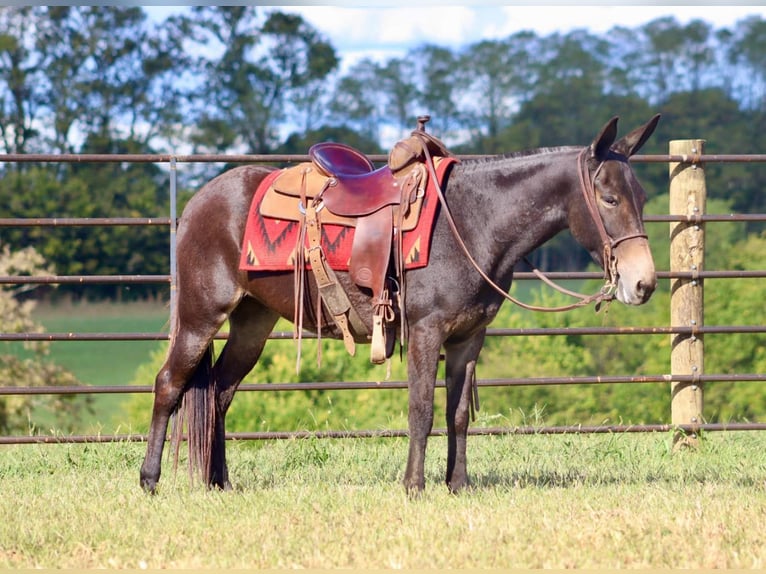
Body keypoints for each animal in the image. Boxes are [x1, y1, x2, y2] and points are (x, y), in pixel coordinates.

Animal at [141, 116, 664, 496]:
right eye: (609, 198)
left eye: (641, 196)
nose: (643, 283)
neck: (472, 222)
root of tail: (198, 201)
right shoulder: (427, 331)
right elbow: (421, 409)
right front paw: (414, 486)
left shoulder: (469, 337)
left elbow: (456, 414)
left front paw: (458, 485)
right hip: (201, 315)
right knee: (169, 384)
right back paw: (150, 480)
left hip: (253, 321)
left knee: (220, 393)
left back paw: (219, 483)